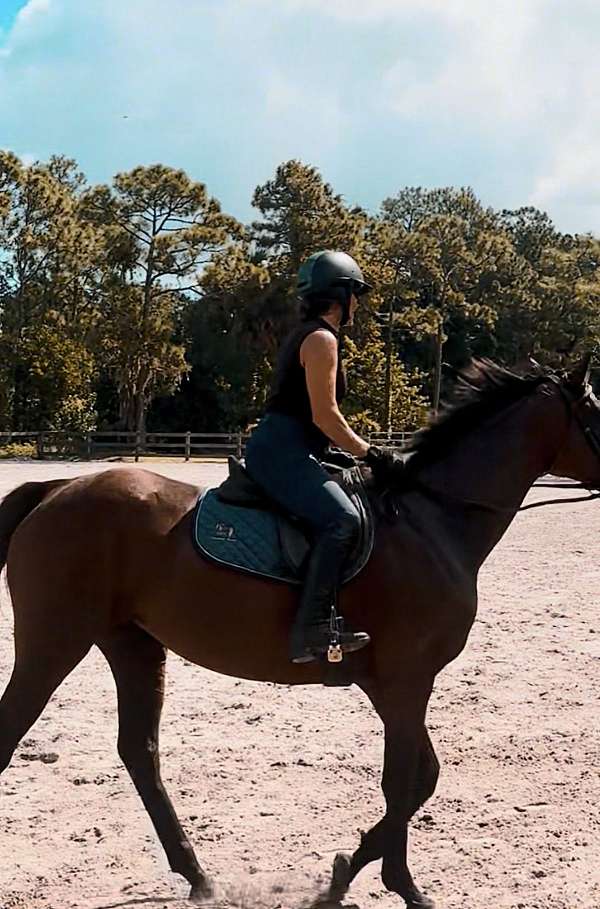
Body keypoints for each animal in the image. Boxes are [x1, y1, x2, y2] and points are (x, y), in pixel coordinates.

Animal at [1, 356, 599, 909]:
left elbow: (420, 778)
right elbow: (403, 781)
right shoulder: (406, 680)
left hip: (133, 644)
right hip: (54, 644)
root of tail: (56, 489)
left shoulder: (394, 686)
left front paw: (351, 875)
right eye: (597, 412)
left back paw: (197, 876)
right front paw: (389, 884)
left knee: (139, 751)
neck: (431, 522)